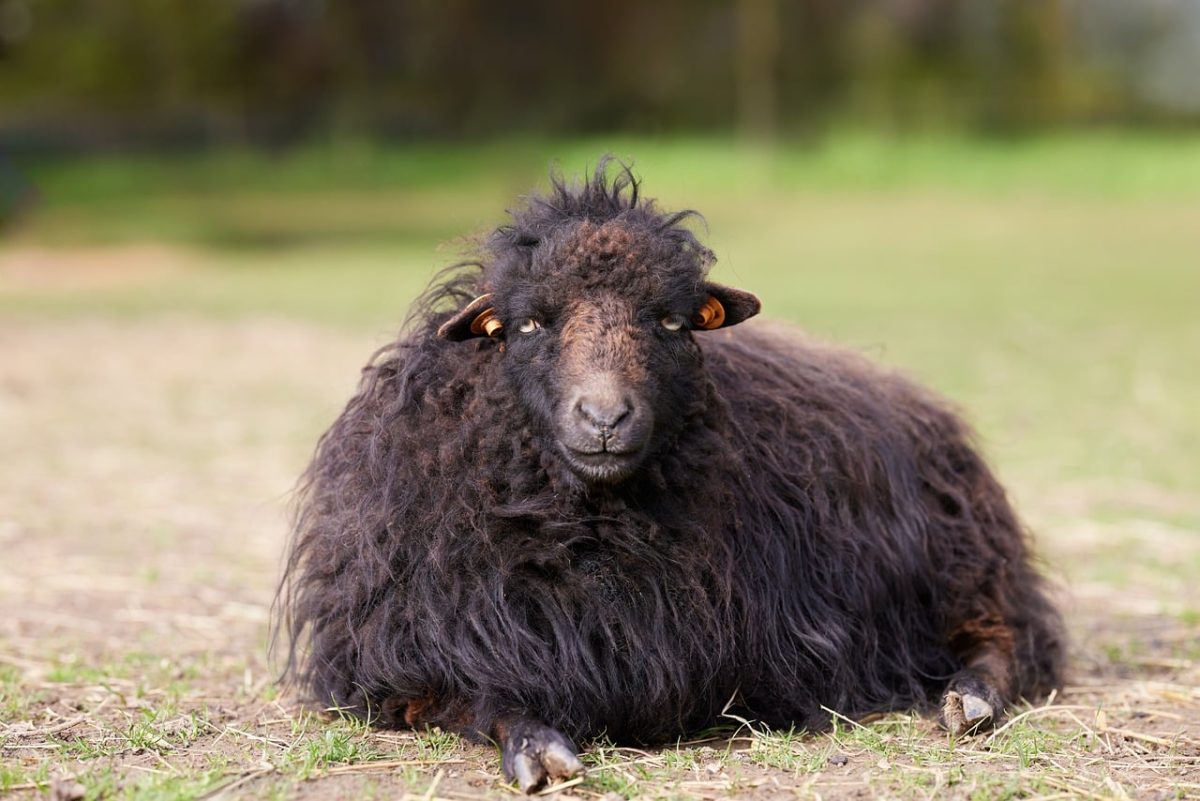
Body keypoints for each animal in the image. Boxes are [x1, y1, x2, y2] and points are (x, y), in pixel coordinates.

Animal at [276, 160, 1065, 793]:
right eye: (528, 324)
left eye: (672, 321)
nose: (605, 418)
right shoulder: (403, 659)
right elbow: (480, 694)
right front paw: (535, 743)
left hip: (960, 565)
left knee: (1002, 637)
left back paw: (970, 698)